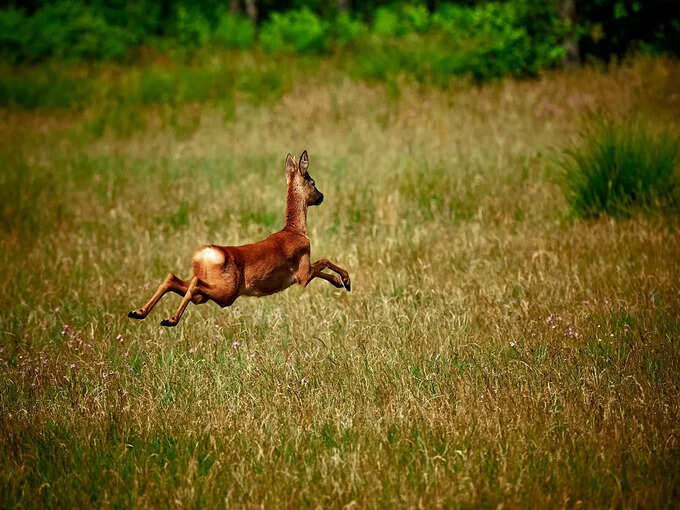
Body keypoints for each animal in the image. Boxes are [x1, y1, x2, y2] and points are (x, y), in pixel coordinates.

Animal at [127, 149, 350, 328]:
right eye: (313, 182)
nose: (321, 196)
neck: (295, 231)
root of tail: (204, 255)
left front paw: (340, 283)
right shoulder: (302, 271)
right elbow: (324, 261)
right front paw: (345, 280)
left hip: (208, 294)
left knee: (172, 279)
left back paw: (138, 312)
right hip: (227, 291)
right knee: (194, 283)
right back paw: (170, 320)